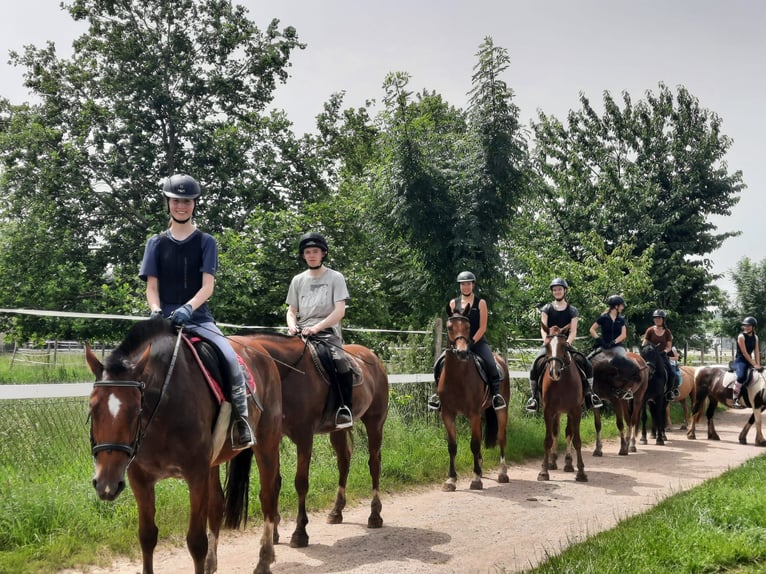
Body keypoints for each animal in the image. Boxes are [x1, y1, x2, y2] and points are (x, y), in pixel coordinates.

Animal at [87, 320, 284, 574]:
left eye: (136, 410)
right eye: (92, 408)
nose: (107, 485)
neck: (164, 406)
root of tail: (259, 349)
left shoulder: (196, 475)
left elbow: (196, 542)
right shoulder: (139, 478)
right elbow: (147, 536)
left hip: (267, 441)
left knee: (268, 494)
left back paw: (264, 560)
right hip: (214, 461)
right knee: (217, 505)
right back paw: (212, 563)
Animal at [232, 336, 390, 552]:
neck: (287, 374)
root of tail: (374, 358)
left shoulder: (304, 437)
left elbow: (301, 483)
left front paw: (299, 534)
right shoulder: (275, 437)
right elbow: (275, 483)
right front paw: (274, 534)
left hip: (375, 422)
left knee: (374, 463)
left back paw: (374, 515)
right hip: (338, 430)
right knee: (344, 462)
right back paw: (336, 512)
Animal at [436, 304, 512, 492]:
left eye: (468, 327)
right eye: (450, 327)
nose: (462, 352)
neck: (457, 377)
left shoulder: (473, 414)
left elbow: (474, 444)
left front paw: (476, 479)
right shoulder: (447, 414)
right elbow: (452, 446)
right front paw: (451, 480)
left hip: (501, 410)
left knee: (501, 437)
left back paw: (502, 473)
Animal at [536, 326, 592, 484]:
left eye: (564, 346)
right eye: (547, 346)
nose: (554, 372)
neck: (561, 382)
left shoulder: (576, 411)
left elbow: (576, 440)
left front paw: (581, 473)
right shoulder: (548, 410)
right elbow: (548, 439)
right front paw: (544, 471)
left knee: (568, 433)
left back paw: (568, 463)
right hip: (557, 412)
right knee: (556, 432)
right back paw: (552, 461)